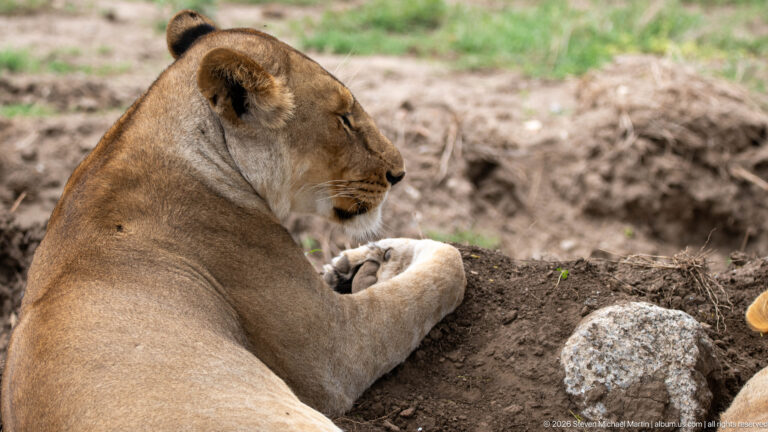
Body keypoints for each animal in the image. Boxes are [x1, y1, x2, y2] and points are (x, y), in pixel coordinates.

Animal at [1, 11, 466, 431]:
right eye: (344, 118)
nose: (398, 173)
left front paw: (363, 262)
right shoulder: (337, 351)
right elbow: (446, 268)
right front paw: (409, 254)